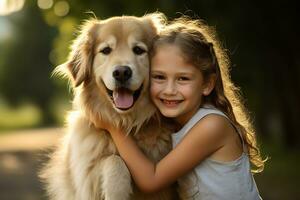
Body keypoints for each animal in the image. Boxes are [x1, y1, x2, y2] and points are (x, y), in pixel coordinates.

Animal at [40, 13, 179, 199]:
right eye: (106, 50)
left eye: (138, 50)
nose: (122, 72)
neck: (126, 122)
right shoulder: (86, 175)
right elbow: (114, 160)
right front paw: (117, 189)